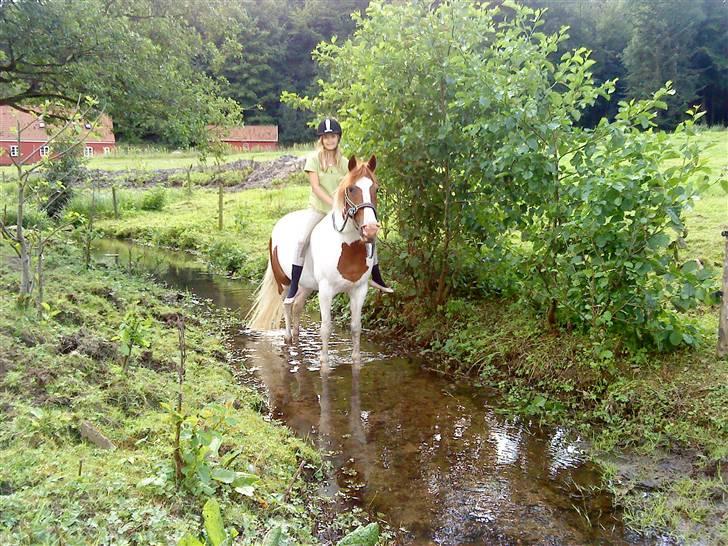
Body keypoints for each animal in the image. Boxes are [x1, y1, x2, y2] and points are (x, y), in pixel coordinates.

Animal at [246, 155, 382, 364]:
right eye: (352, 189)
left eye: (376, 188)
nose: (371, 230)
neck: (346, 248)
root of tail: (280, 223)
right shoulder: (325, 291)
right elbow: (325, 328)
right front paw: (324, 362)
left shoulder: (359, 290)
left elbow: (356, 328)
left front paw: (356, 360)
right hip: (284, 283)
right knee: (287, 305)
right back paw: (288, 338)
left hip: (307, 286)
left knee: (297, 307)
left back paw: (296, 337)